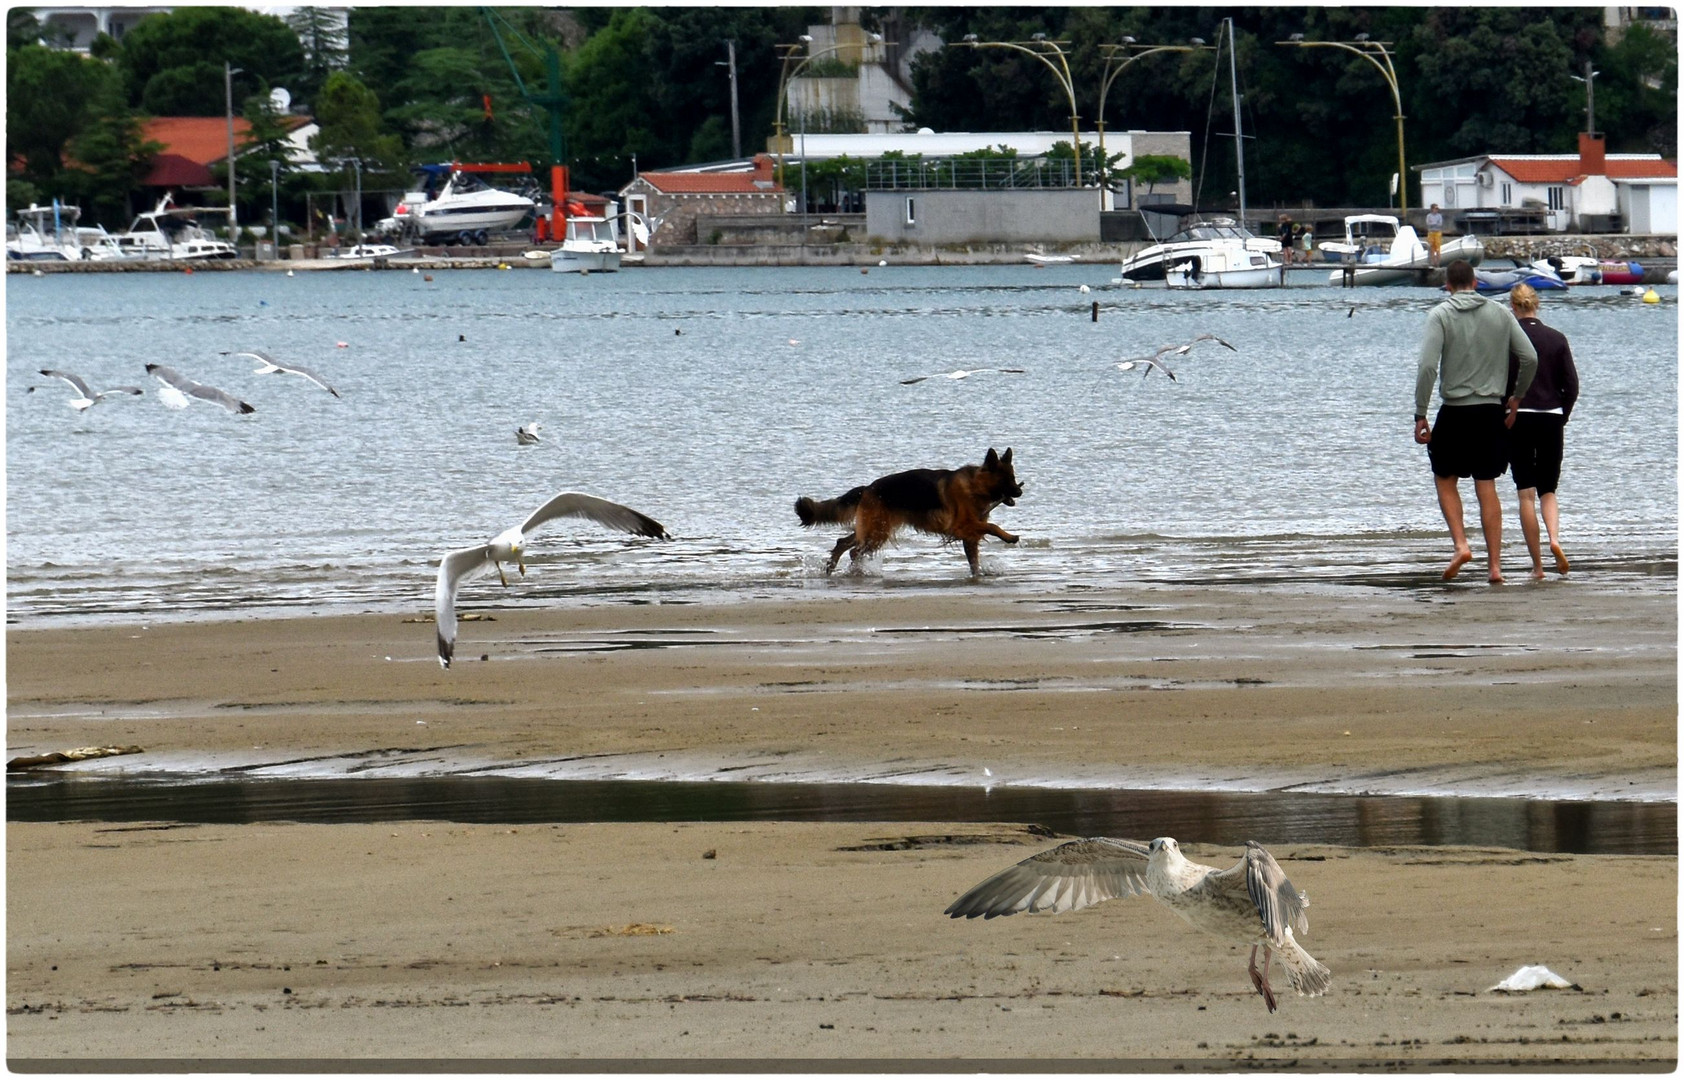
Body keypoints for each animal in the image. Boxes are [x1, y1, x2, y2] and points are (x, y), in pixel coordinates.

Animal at [791, 444, 1017, 576]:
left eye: (1013, 478)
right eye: (1006, 480)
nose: (1020, 491)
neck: (974, 485)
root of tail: (868, 488)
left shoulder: (969, 535)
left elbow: (974, 561)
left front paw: (978, 575)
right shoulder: (963, 527)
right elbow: (992, 526)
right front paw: (1010, 537)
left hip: (872, 529)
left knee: (843, 542)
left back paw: (832, 567)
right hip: (877, 532)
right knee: (855, 551)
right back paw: (856, 571)